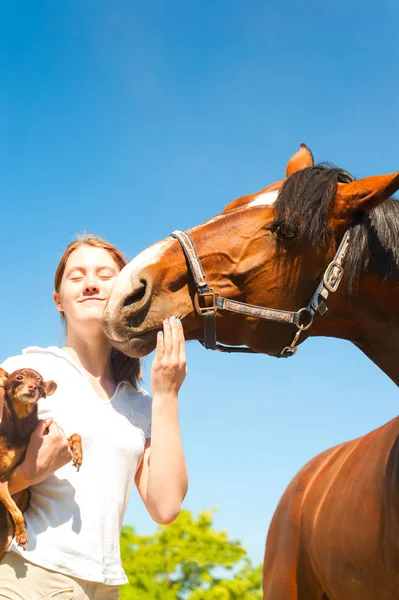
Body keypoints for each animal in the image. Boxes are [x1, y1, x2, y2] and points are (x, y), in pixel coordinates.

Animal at [0, 368, 83, 560]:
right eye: (19, 378)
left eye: (40, 383)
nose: (33, 387)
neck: (22, 427)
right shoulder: (1, 479)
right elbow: (16, 511)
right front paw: (22, 534)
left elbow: (76, 435)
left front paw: (78, 455)